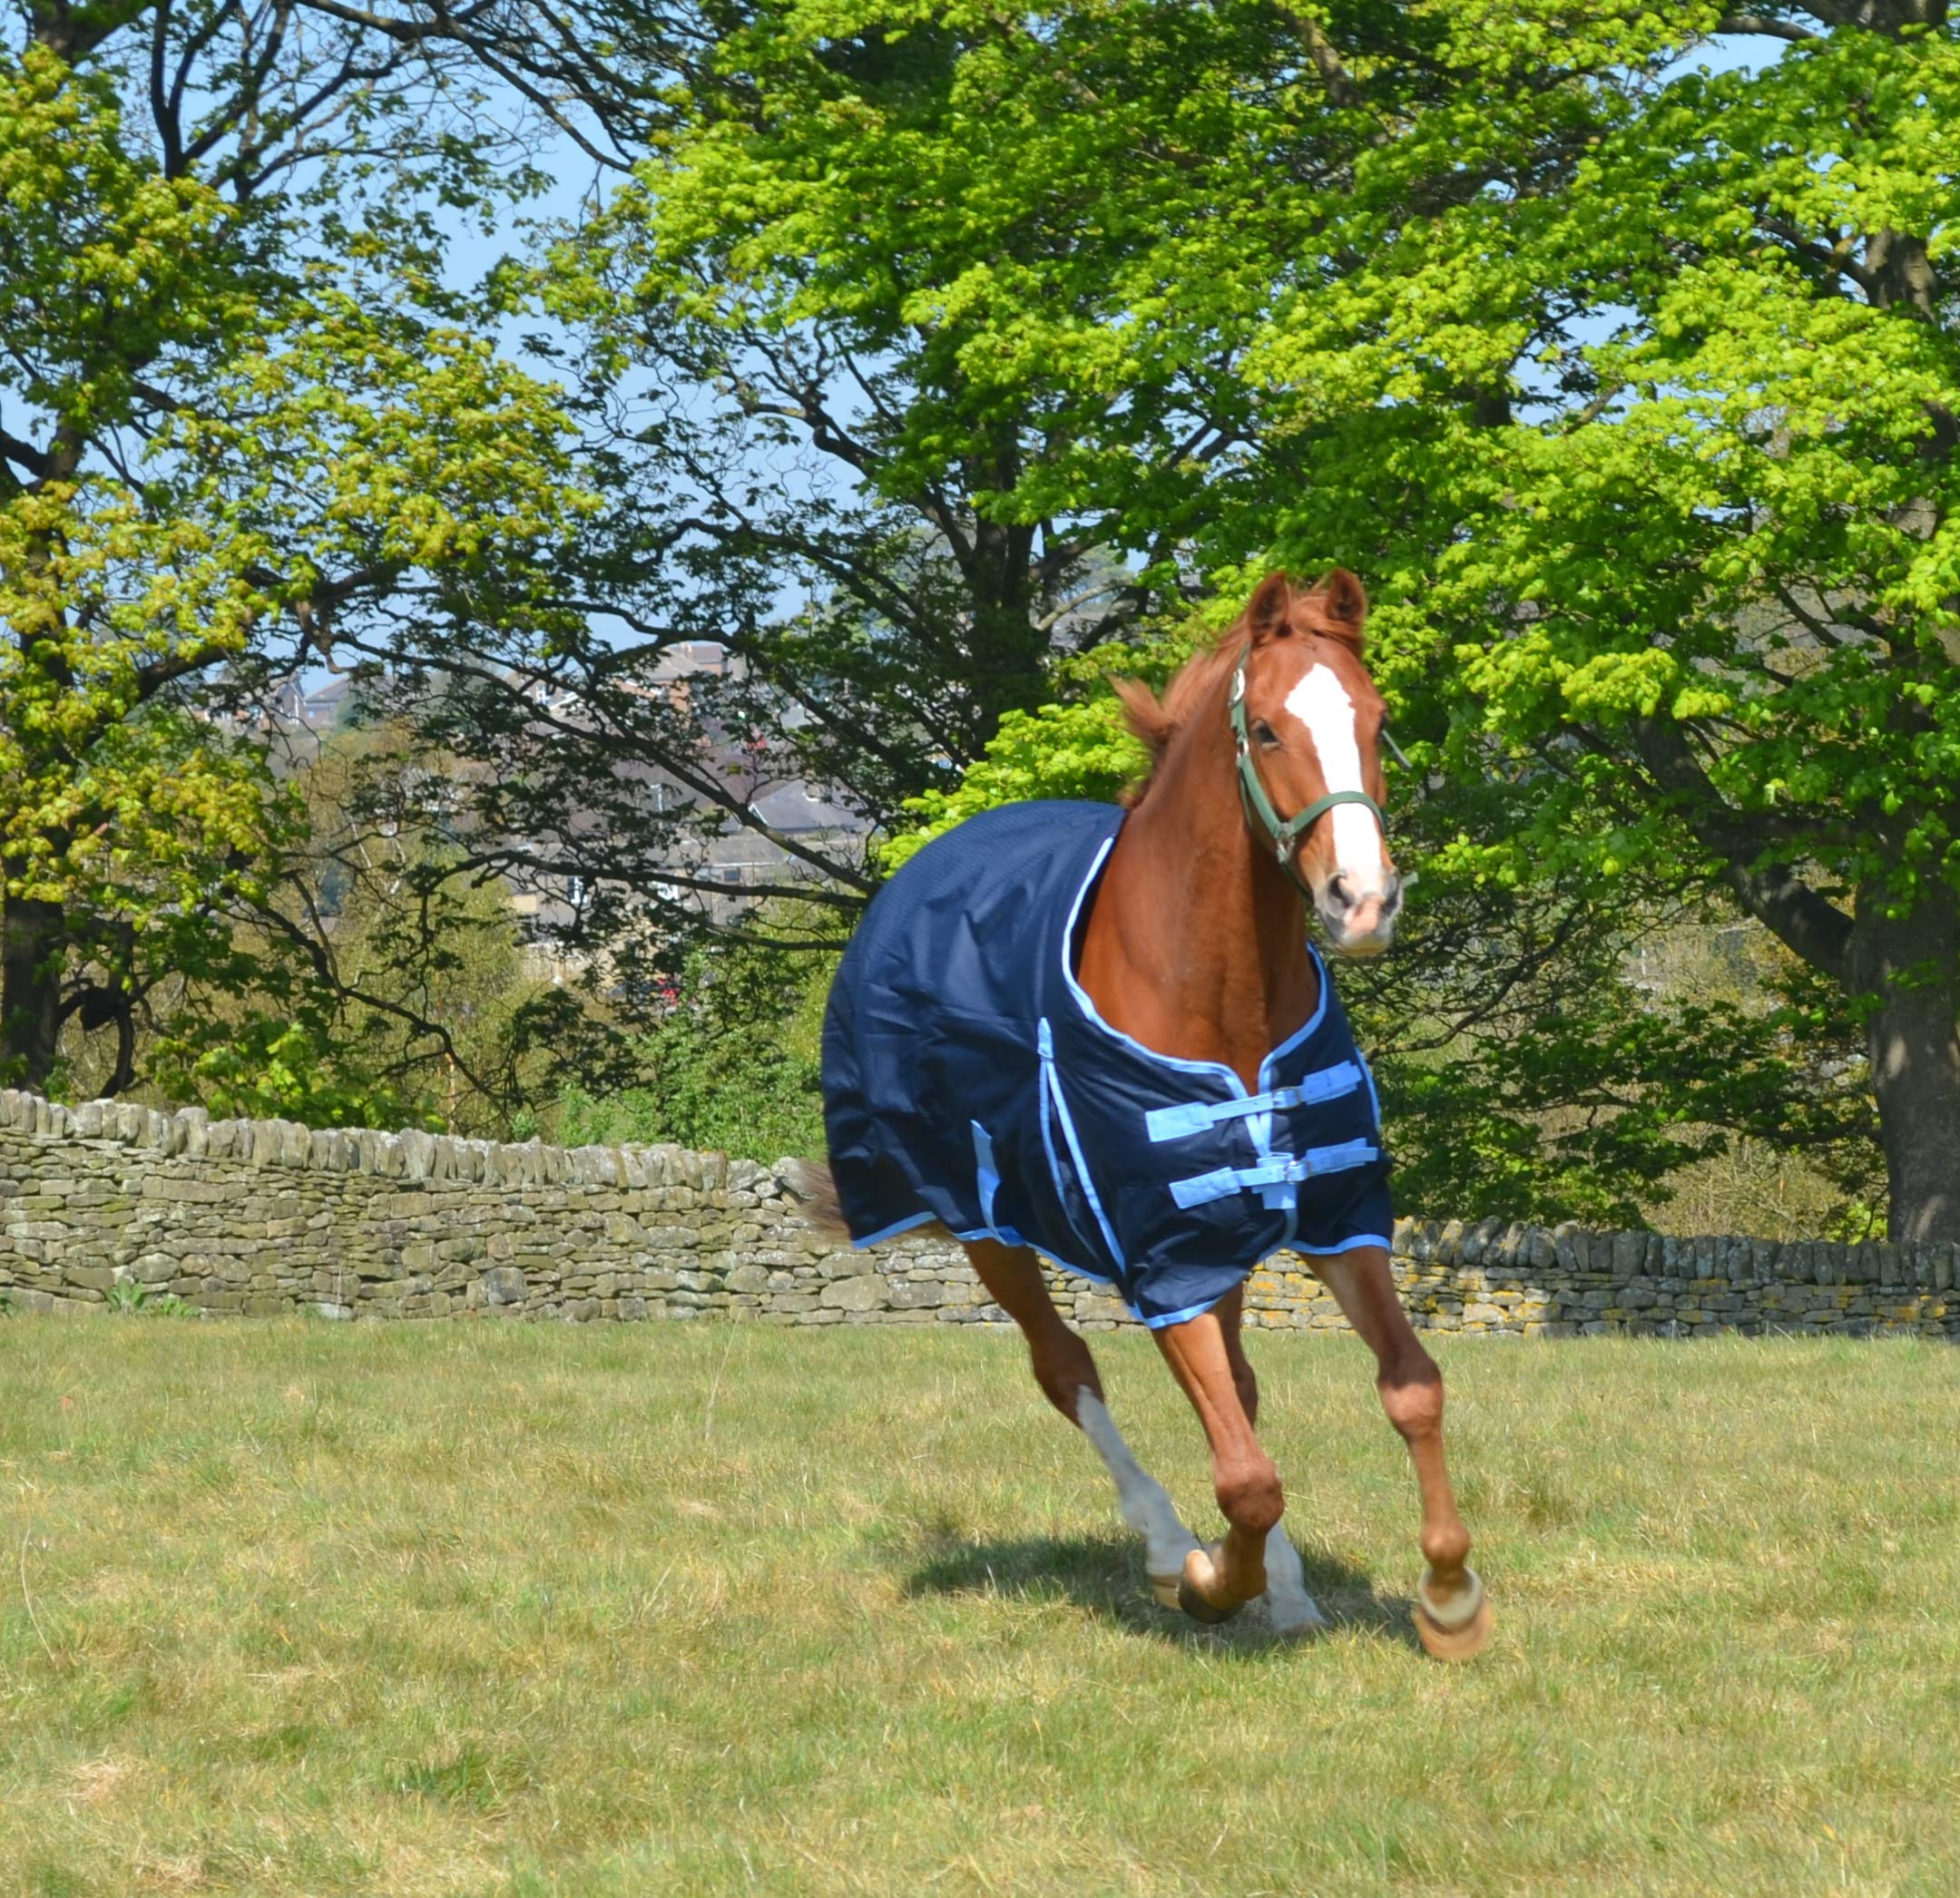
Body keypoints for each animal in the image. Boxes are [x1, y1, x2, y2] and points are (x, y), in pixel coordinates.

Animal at [809, 568, 1490, 1660]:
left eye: (1378, 721)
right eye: (1266, 728)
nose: (1363, 902)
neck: (1221, 1004)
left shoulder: (1330, 1222)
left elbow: (1409, 1386)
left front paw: (1450, 1596)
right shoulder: (1157, 1255)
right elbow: (1246, 1478)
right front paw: (1210, 1581)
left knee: (1236, 1392)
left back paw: (1287, 1592)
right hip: (987, 1231)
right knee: (1067, 1369)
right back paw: (1173, 1547)